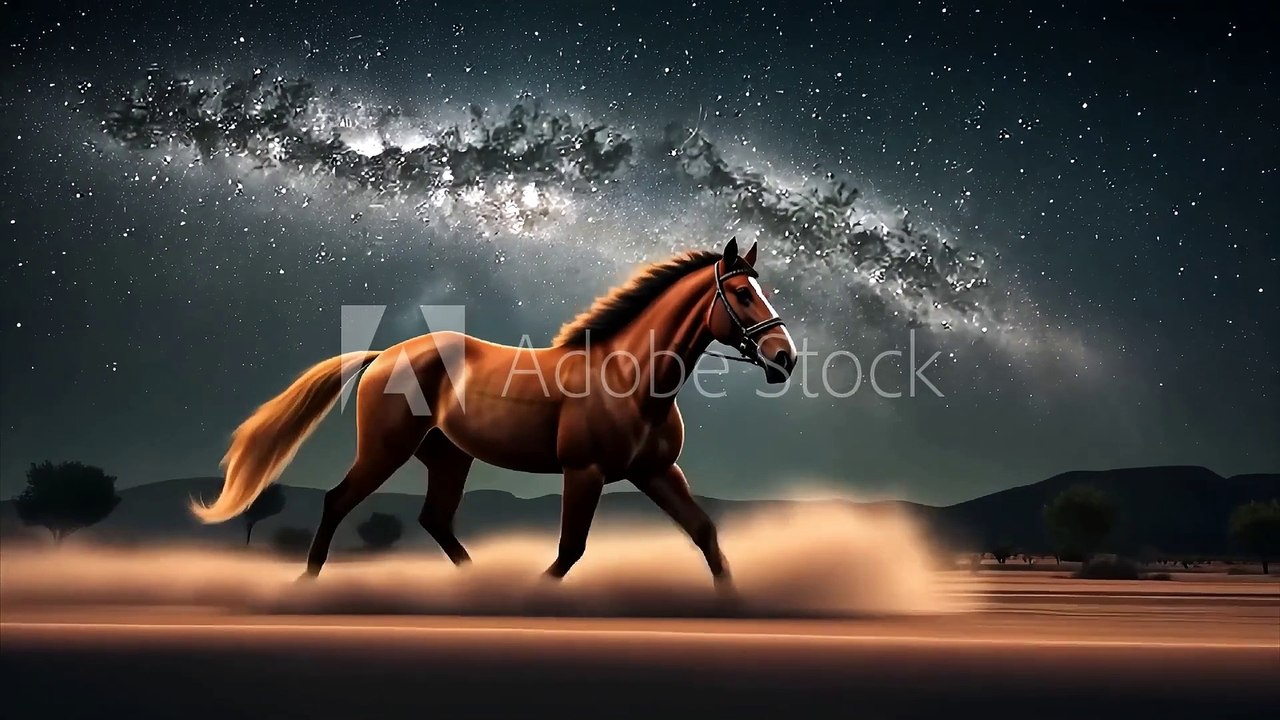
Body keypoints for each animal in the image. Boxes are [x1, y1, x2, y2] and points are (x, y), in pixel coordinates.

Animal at [190, 237, 798, 589]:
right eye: (742, 294)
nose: (785, 358)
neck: (631, 378)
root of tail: (383, 355)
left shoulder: (655, 471)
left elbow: (706, 534)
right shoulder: (585, 473)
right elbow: (570, 550)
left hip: (448, 457)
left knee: (434, 519)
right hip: (387, 450)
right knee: (339, 501)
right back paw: (306, 585)